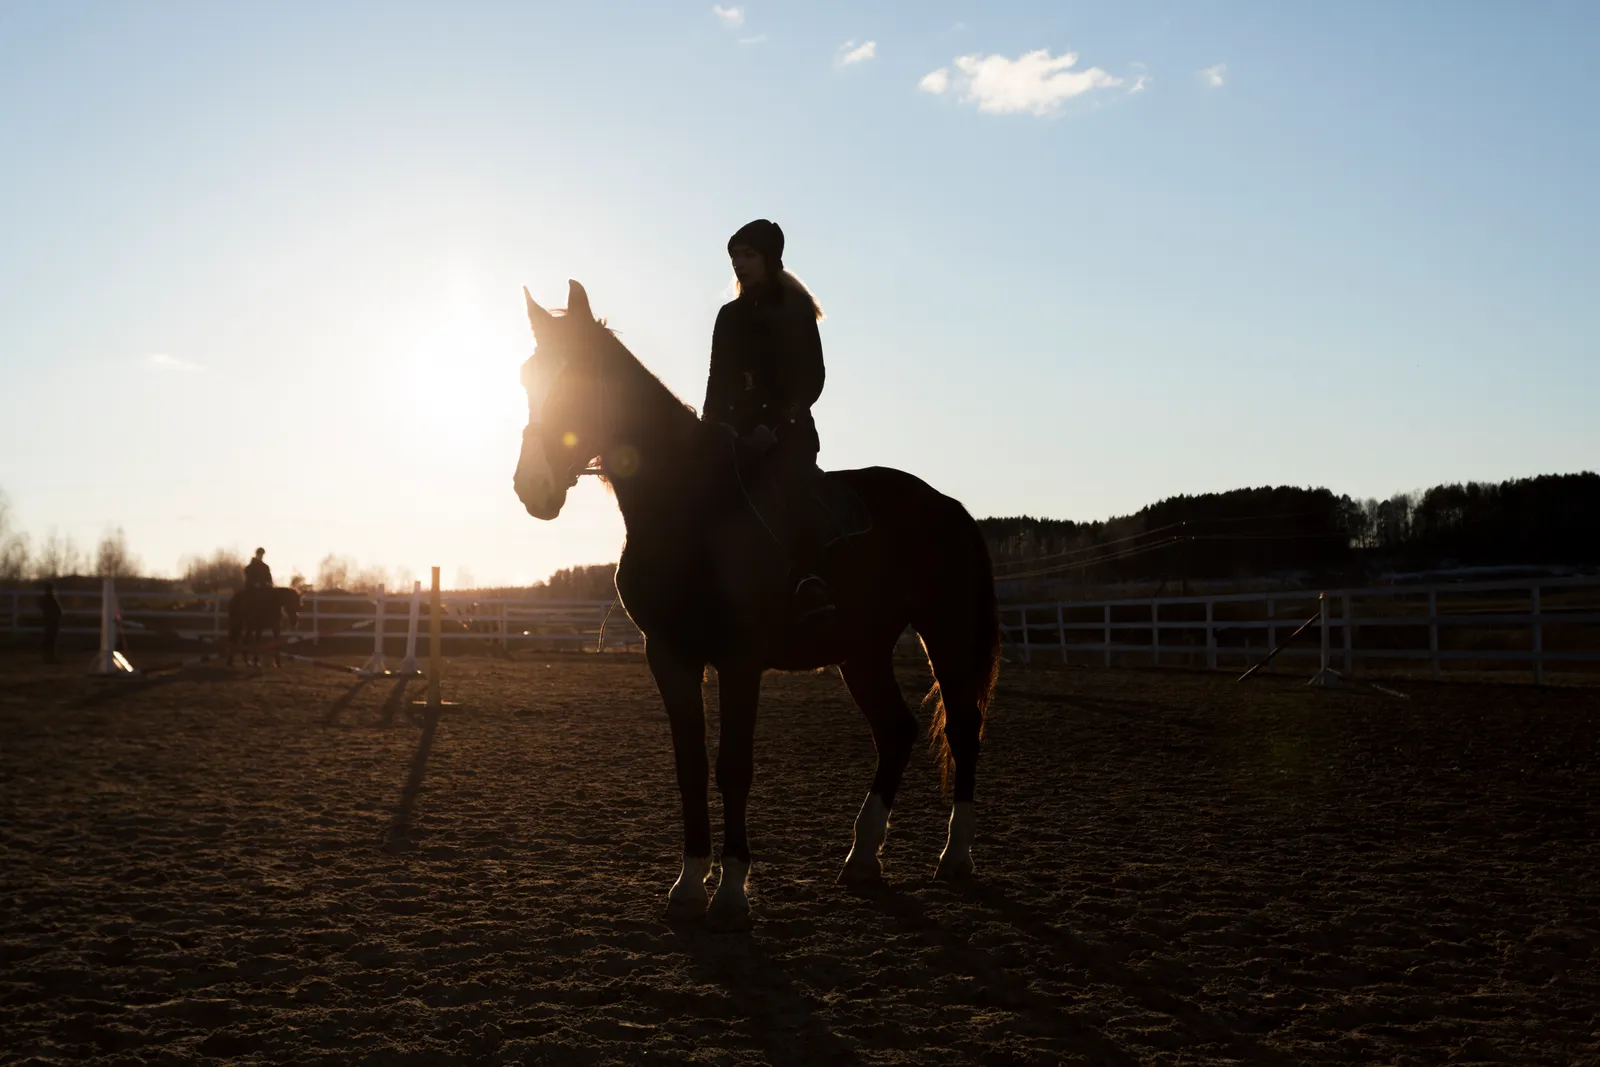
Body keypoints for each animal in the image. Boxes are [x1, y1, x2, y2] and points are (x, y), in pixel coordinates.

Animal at [513, 280, 999, 930]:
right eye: (528, 377)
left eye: (582, 378)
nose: (533, 486)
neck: (690, 508)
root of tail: (949, 506)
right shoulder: (669, 656)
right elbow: (691, 767)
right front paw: (689, 884)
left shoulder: (740, 661)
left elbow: (733, 768)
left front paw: (731, 890)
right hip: (862, 651)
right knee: (896, 730)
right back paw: (862, 857)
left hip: (945, 631)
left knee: (964, 728)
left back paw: (955, 855)